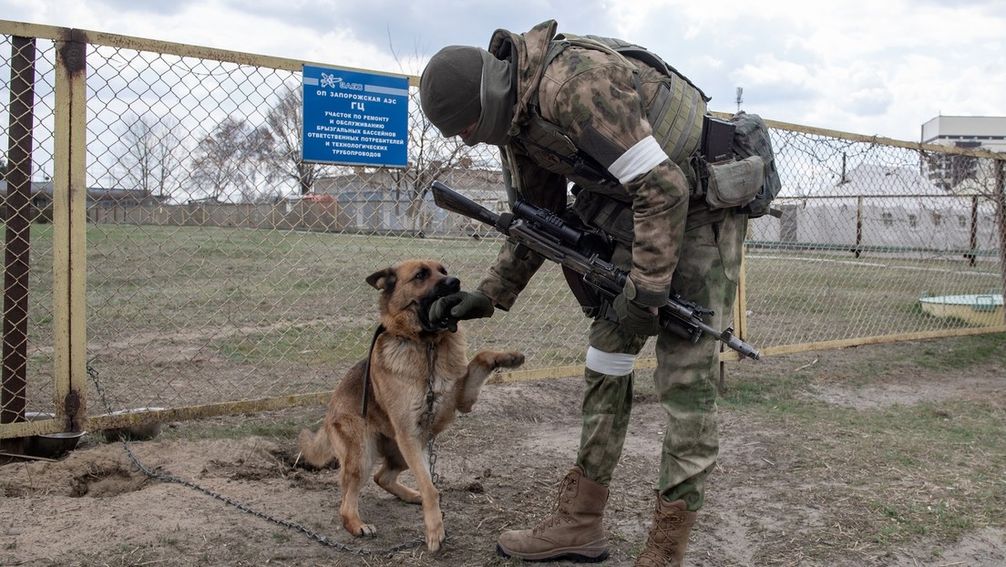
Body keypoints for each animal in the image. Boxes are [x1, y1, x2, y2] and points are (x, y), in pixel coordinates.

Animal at [295, 259, 527, 550]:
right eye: (420, 276)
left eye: (443, 270)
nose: (456, 282)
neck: (428, 345)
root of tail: (328, 417)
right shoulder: (410, 433)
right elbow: (431, 487)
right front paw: (434, 530)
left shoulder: (459, 403)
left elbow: (481, 356)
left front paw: (509, 357)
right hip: (367, 453)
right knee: (348, 501)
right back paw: (358, 524)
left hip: (405, 452)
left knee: (382, 477)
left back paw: (410, 495)